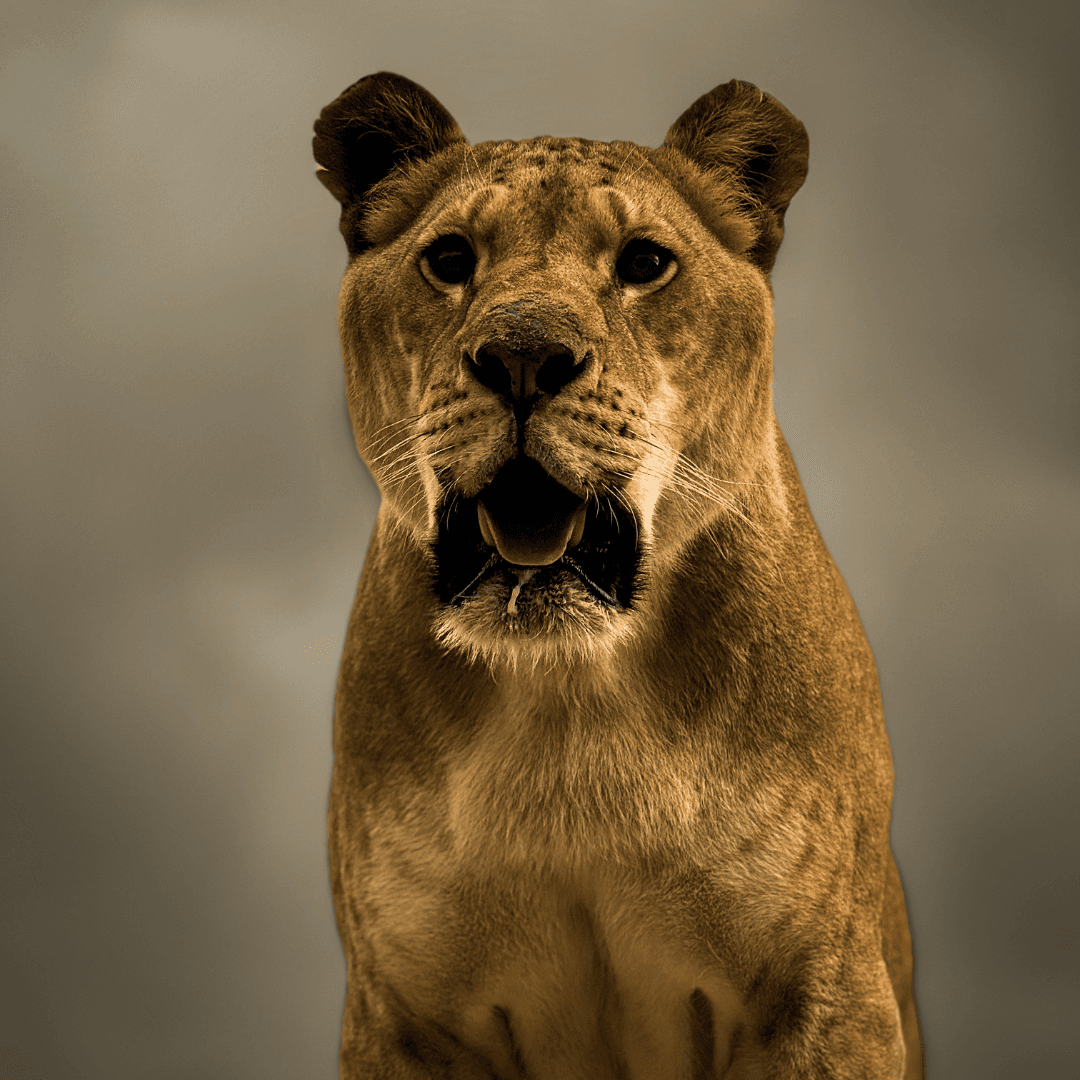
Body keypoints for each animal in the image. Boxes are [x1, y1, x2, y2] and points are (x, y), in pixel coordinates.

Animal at [313, 72, 923, 1079]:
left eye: (644, 262)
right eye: (449, 258)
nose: (523, 355)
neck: (567, 697)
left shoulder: (828, 991)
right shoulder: (399, 1016)